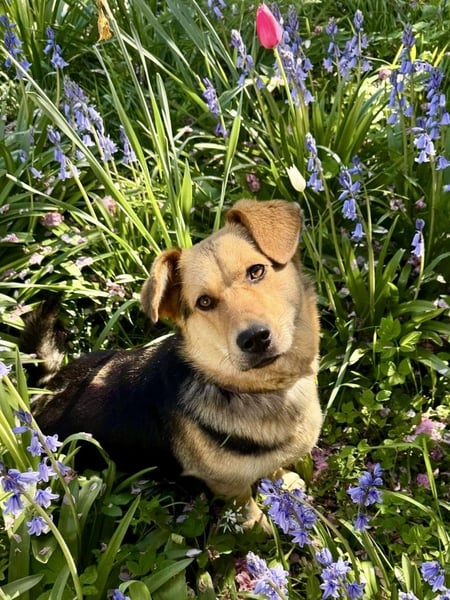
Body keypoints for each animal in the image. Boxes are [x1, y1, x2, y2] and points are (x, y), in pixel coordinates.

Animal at [22, 199, 322, 528]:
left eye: (256, 271)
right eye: (204, 302)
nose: (254, 338)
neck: (261, 390)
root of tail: (43, 391)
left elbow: (272, 468)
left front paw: (283, 483)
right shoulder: (227, 485)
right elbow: (246, 508)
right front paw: (260, 528)